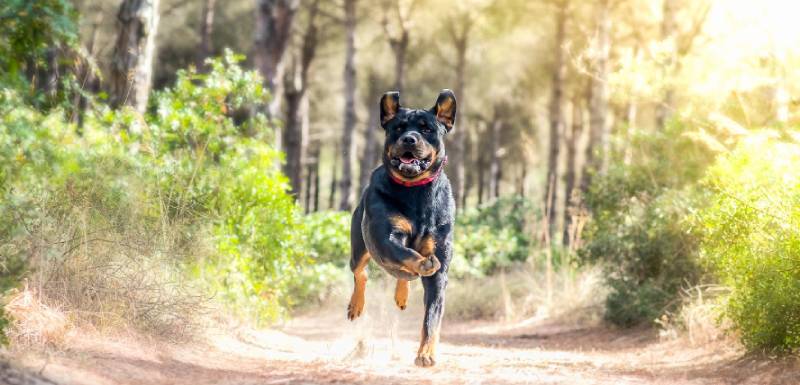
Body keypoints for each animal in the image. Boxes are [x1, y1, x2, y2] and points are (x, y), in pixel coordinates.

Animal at [346, 88, 456, 366]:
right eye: (398, 128)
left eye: (427, 129)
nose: (409, 139)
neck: (416, 192)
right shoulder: (384, 237)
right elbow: (404, 253)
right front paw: (423, 263)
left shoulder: (440, 267)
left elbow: (431, 318)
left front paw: (426, 353)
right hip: (359, 247)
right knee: (361, 273)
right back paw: (356, 306)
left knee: (401, 275)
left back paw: (401, 295)